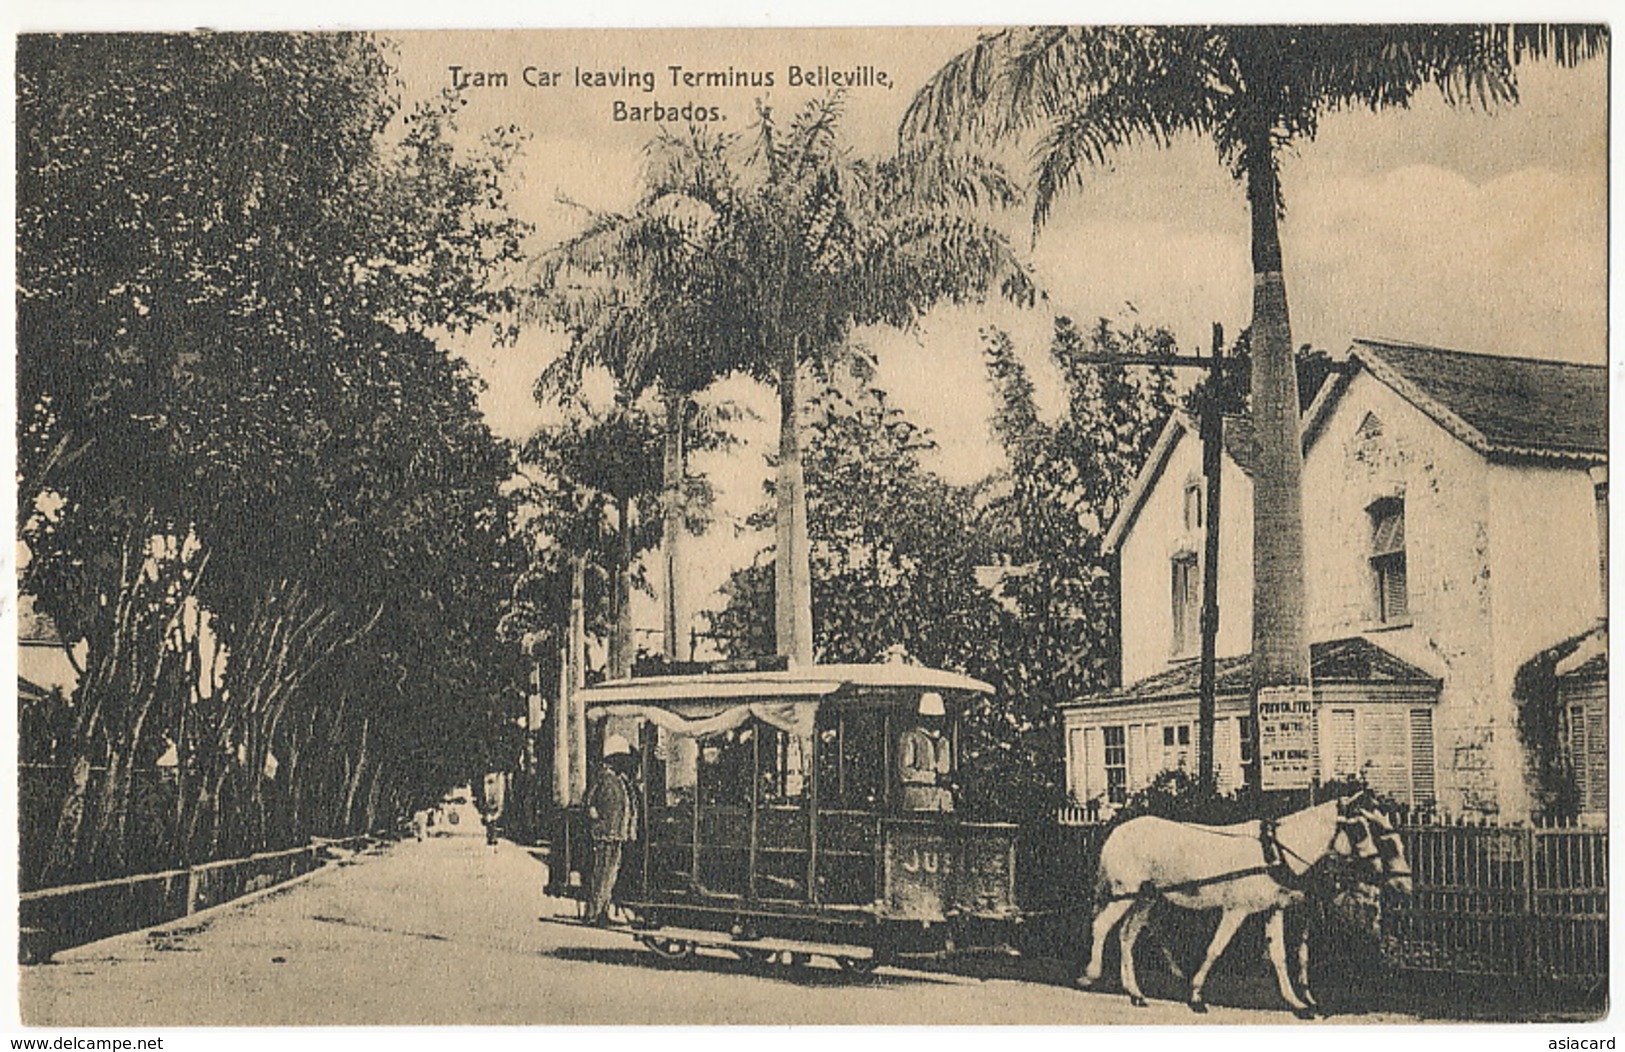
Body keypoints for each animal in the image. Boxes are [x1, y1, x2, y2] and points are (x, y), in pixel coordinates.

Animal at [1085, 803, 1417, 1014]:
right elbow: (1215, 949)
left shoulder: (1273, 910)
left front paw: (1297, 1003)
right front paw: (1196, 997)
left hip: (1146, 898)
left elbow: (1280, 956)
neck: (1276, 851)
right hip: (1124, 893)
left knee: (1127, 936)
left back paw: (1135, 994)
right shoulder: (1236, 909)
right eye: (1361, 832)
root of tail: (1116, 832)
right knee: (1101, 927)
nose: (1406, 886)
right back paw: (1090, 975)